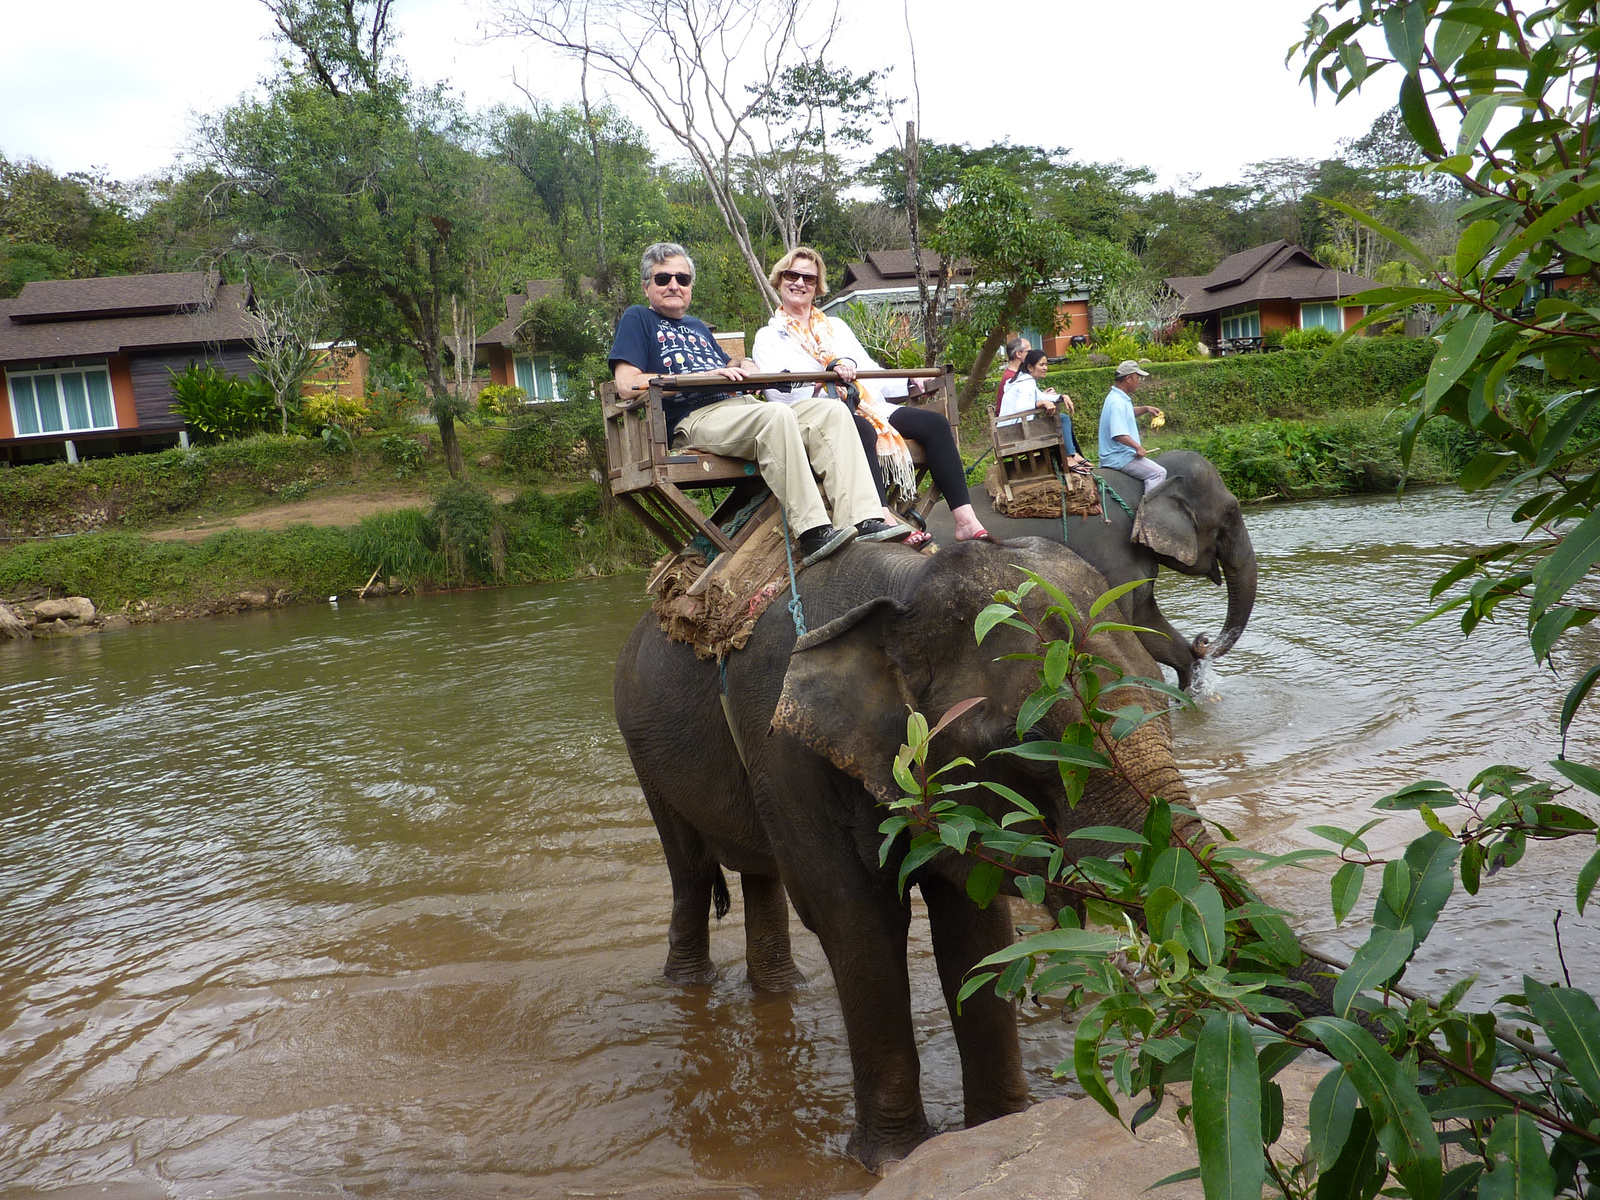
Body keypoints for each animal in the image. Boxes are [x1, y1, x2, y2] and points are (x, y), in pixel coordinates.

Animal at [614, 534, 1222, 1177]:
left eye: (1162, 695)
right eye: (1025, 740)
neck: (903, 589)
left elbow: (973, 926)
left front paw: (998, 1127)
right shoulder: (784, 751)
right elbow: (856, 920)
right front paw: (892, 1160)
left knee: (759, 875)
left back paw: (781, 990)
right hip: (642, 746)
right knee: (690, 869)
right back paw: (688, 982)